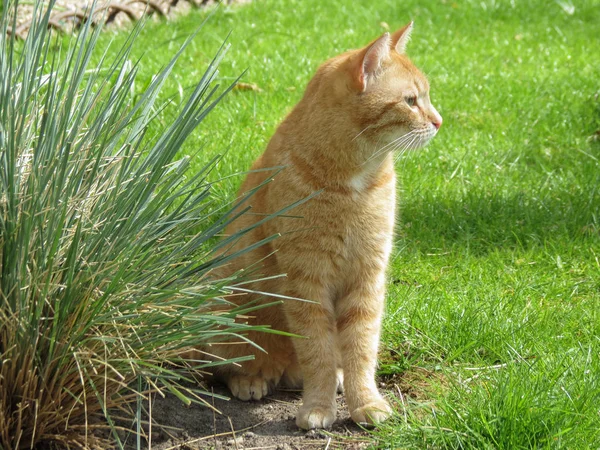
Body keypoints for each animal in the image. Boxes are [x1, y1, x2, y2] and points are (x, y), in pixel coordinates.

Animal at [206, 22, 440, 428]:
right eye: (411, 101)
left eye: (423, 97)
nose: (439, 121)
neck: (354, 182)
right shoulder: (306, 280)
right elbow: (318, 350)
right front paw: (317, 407)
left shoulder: (367, 276)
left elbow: (361, 347)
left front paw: (366, 402)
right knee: (230, 364)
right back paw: (251, 378)